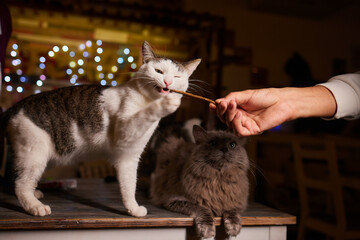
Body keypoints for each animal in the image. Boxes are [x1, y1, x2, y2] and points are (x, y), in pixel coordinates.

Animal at [1, 41, 201, 218]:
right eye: (158, 71)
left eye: (177, 77)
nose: (167, 82)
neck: (146, 99)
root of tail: (13, 108)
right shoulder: (125, 131)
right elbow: (142, 115)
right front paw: (167, 104)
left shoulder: (129, 155)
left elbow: (129, 185)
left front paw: (132, 209)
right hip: (34, 153)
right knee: (20, 184)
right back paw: (35, 206)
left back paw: (35, 193)